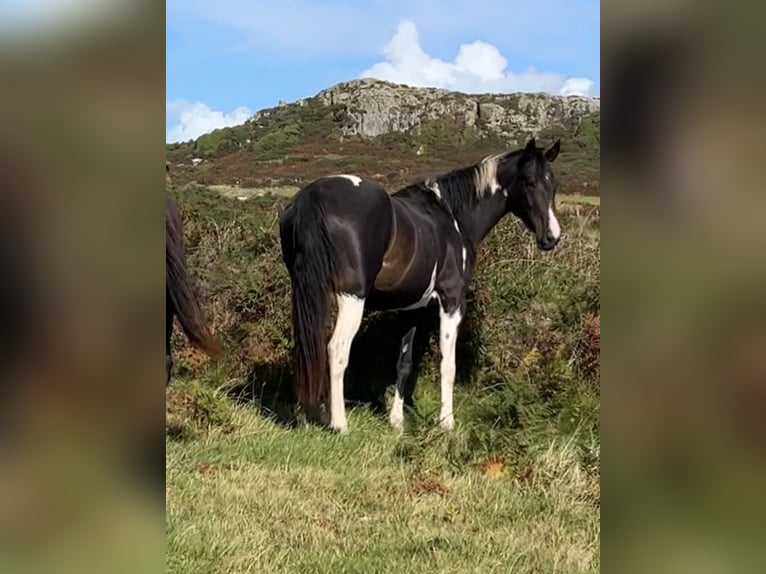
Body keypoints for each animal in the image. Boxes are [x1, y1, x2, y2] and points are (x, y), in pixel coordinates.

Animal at [279, 137, 561, 432]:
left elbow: (404, 363)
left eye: (553, 183)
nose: (552, 237)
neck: (452, 218)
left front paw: (397, 421)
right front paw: (446, 422)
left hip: (306, 292)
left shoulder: (413, 309)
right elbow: (448, 366)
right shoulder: (452, 302)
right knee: (337, 350)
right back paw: (340, 424)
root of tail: (313, 197)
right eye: (529, 181)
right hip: (352, 298)